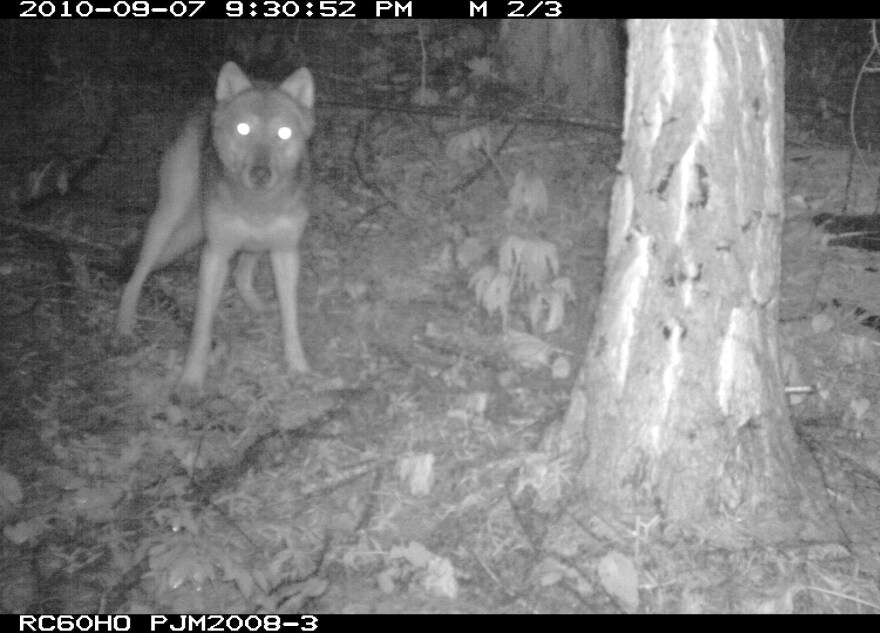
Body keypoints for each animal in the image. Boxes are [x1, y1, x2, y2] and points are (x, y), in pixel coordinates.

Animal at [117, 60, 314, 396]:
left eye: (284, 133)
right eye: (243, 129)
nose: (261, 174)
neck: (256, 205)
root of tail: (209, 104)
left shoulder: (286, 251)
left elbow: (291, 318)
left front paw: (297, 366)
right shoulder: (215, 254)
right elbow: (201, 327)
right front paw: (191, 380)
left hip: (252, 243)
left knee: (242, 275)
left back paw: (258, 307)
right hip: (168, 217)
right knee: (137, 272)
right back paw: (125, 323)